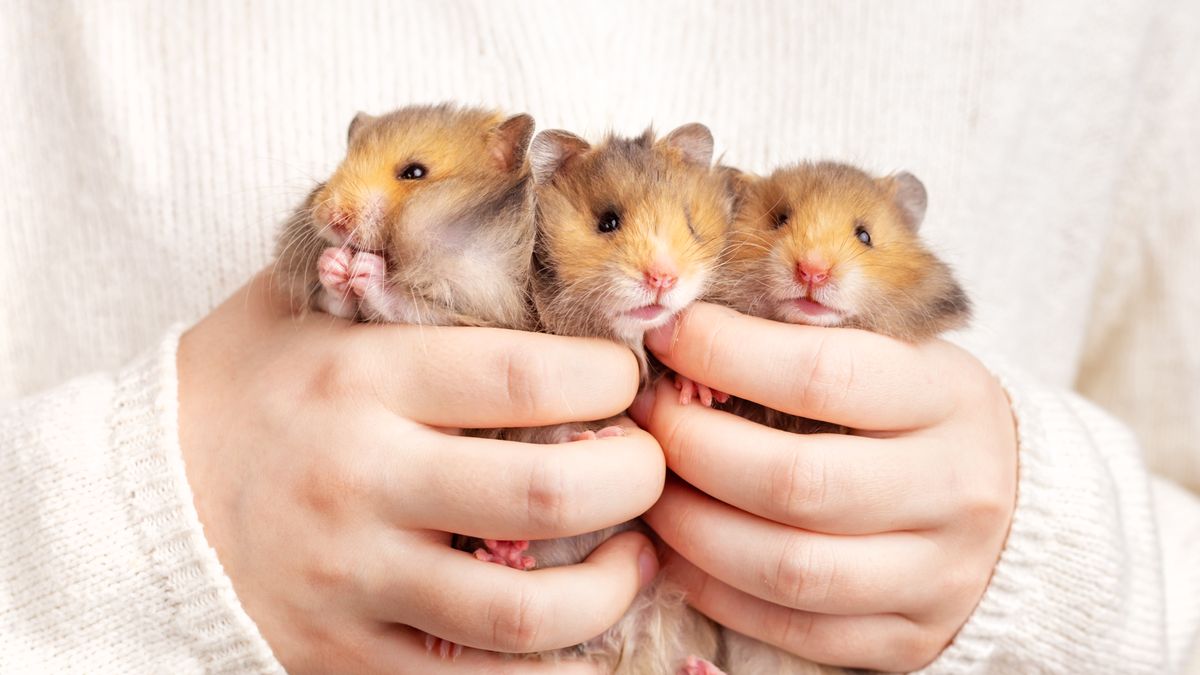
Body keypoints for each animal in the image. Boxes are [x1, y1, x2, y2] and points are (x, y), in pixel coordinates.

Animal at [275, 103, 536, 331]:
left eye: (415, 172)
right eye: (340, 165)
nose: (334, 218)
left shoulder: (483, 303)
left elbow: (404, 306)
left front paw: (364, 266)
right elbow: (337, 304)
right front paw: (333, 261)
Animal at [487, 124, 733, 675]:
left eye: (690, 223)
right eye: (607, 222)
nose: (663, 278)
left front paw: (701, 391)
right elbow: (546, 433)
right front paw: (593, 436)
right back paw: (503, 557)